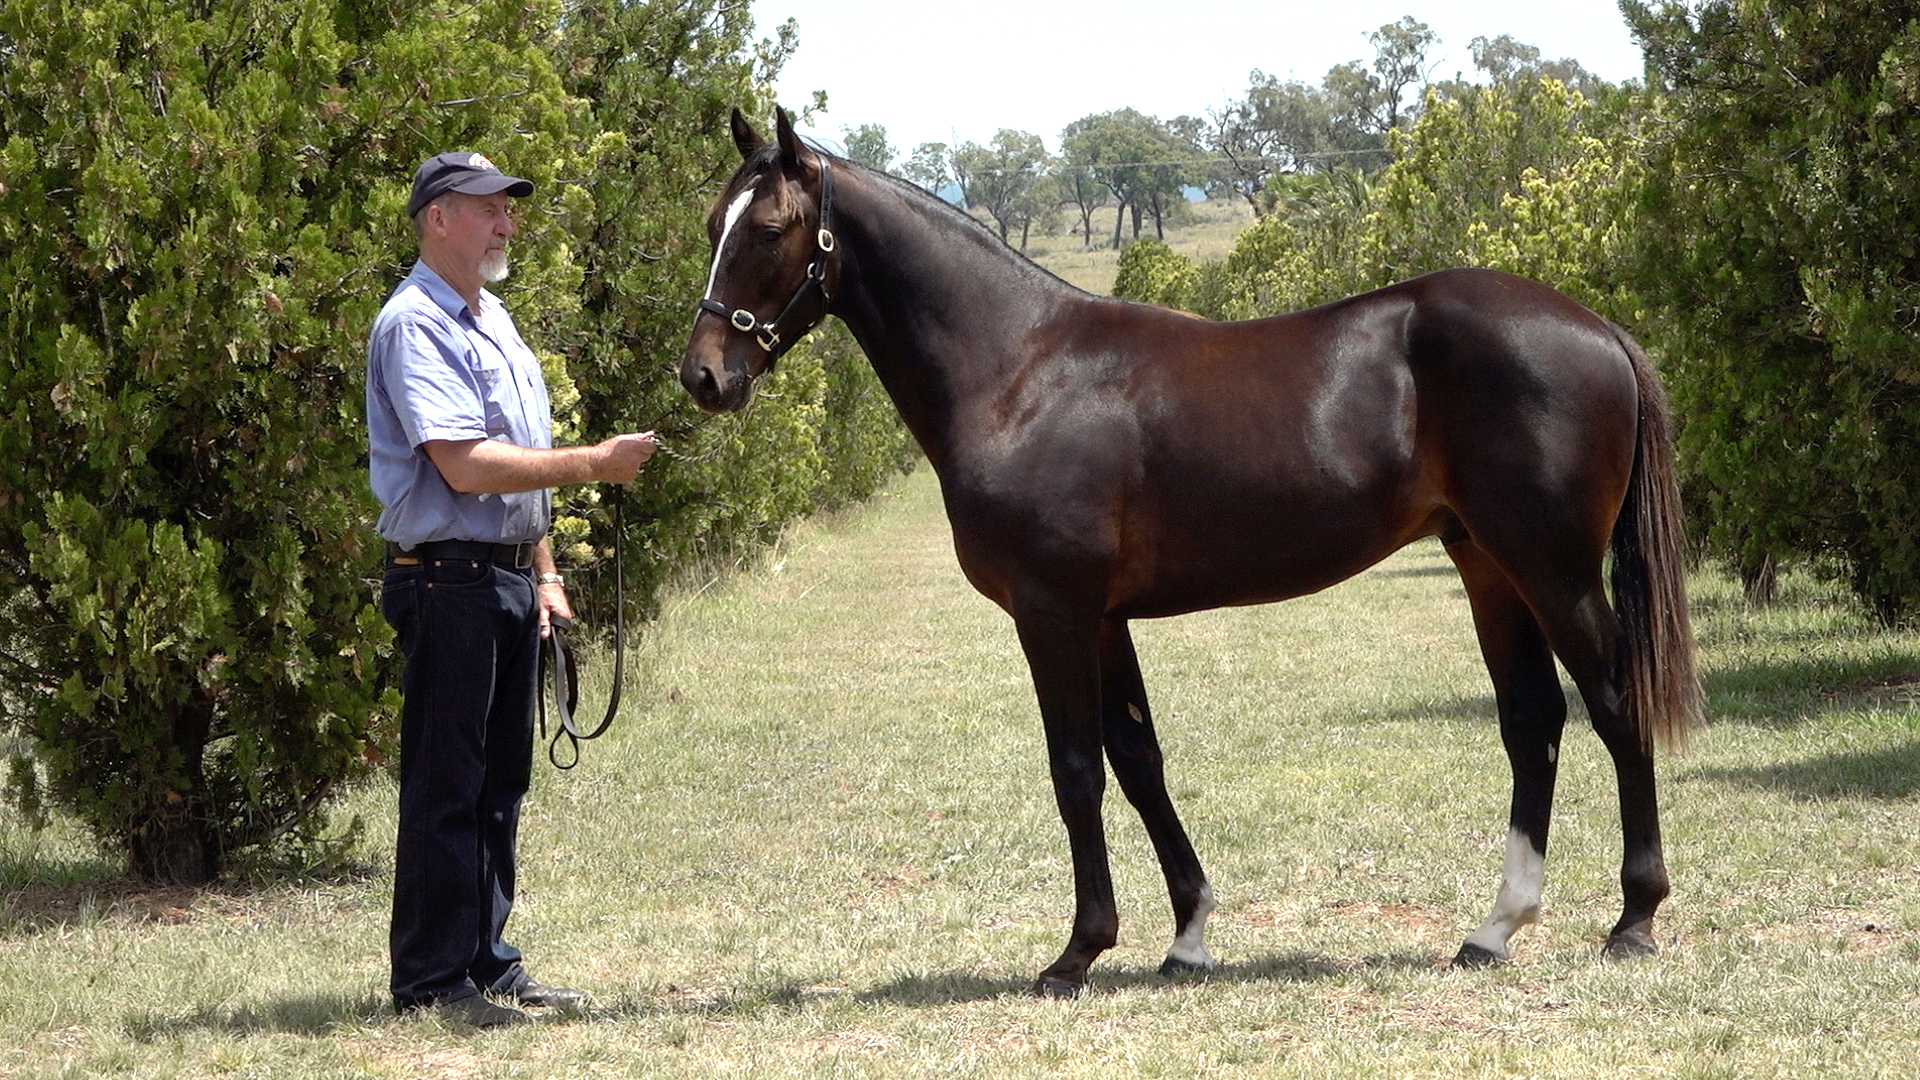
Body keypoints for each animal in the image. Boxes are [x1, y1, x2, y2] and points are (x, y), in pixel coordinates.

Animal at [679, 108, 1703, 997]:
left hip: (1553, 570)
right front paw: (1189, 936)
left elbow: (1077, 771)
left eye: (769, 228)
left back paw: (1634, 920)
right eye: (711, 221)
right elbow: (1139, 761)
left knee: (1615, 705)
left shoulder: (1052, 613)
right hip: (1488, 567)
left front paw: (1077, 954)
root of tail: (1599, 329)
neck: (1021, 370)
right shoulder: (1103, 619)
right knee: (1533, 721)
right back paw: (1495, 928)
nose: (703, 377)